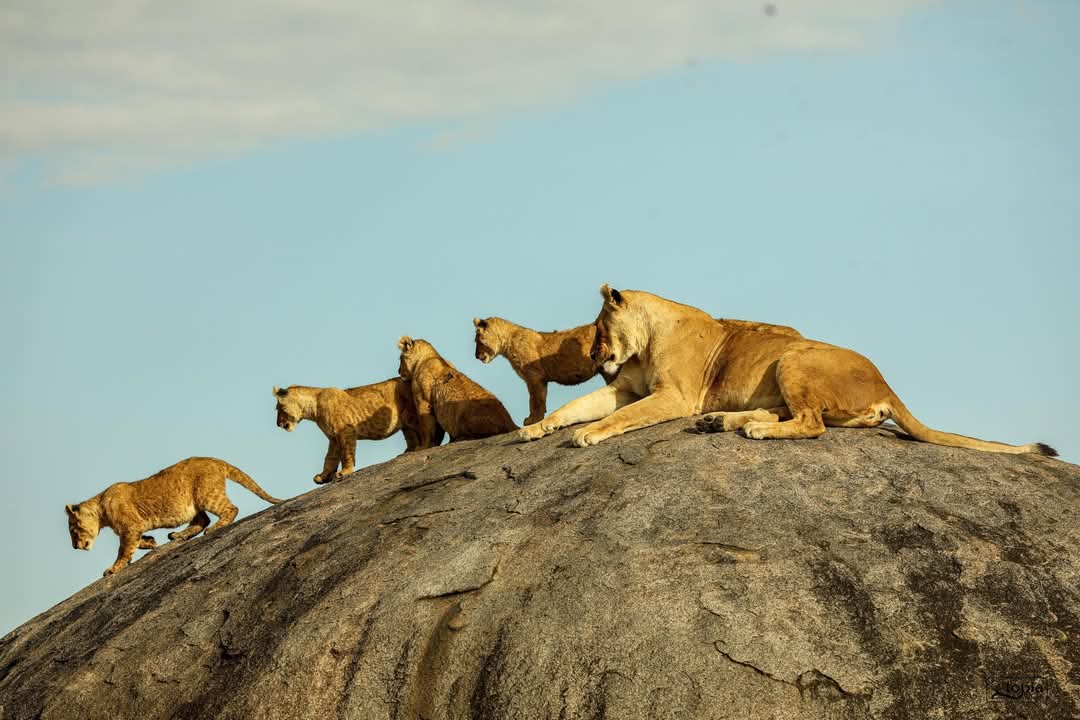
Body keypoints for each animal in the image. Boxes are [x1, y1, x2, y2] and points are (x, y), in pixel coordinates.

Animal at [66, 457, 283, 576]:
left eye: (74, 529)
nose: (75, 546)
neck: (101, 508)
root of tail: (214, 460)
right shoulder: (133, 529)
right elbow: (135, 544)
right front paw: (151, 542)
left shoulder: (130, 527)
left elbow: (123, 550)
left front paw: (113, 569)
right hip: (195, 502)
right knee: (202, 520)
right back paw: (178, 535)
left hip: (207, 494)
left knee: (230, 510)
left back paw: (215, 528)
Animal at [273, 378, 435, 484]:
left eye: (279, 408)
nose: (278, 424)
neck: (313, 409)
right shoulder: (333, 438)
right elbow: (330, 458)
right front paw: (323, 476)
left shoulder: (345, 431)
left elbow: (346, 453)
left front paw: (345, 472)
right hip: (406, 424)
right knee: (411, 436)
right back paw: (407, 453)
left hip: (412, 416)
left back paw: (421, 448)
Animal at [518, 285, 1057, 457]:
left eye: (598, 328)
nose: (594, 358)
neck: (646, 342)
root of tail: (887, 383)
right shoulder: (625, 388)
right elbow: (575, 406)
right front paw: (534, 430)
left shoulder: (674, 396)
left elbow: (618, 418)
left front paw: (589, 435)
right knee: (794, 415)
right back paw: (725, 422)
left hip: (795, 356)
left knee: (811, 424)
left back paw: (748, 429)